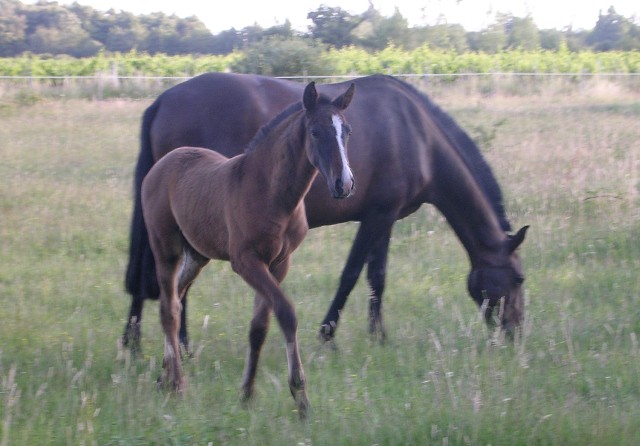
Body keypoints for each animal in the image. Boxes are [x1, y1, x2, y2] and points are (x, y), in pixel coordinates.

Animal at [122, 72, 528, 352]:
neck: (417, 135)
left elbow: (377, 277)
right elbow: (352, 275)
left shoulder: (385, 218)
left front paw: (377, 336)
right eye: (519, 279)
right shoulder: (377, 216)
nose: (514, 334)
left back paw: (138, 343)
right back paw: (176, 345)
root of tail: (162, 101)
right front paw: (328, 334)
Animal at [142, 81, 356, 418]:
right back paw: (177, 383)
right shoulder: (246, 262)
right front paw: (301, 397)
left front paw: (246, 393)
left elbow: (259, 327)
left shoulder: (278, 263)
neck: (270, 192)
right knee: (169, 309)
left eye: (346, 131)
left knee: (174, 296)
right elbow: (286, 313)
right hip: (166, 247)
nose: (343, 184)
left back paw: (164, 376)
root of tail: (162, 163)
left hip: (197, 255)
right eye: (315, 132)